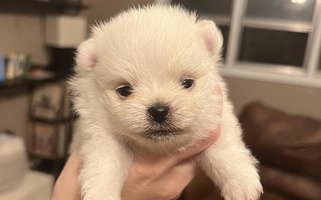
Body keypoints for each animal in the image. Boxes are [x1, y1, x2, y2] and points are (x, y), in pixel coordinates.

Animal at [70, 4, 262, 200]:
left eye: (187, 82)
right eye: (124, 90)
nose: (159, 111)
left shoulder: (216, 119)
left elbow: (224, 150)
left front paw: (240, 182)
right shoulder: (99, 132)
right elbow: (106, 162)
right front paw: (101, 193)